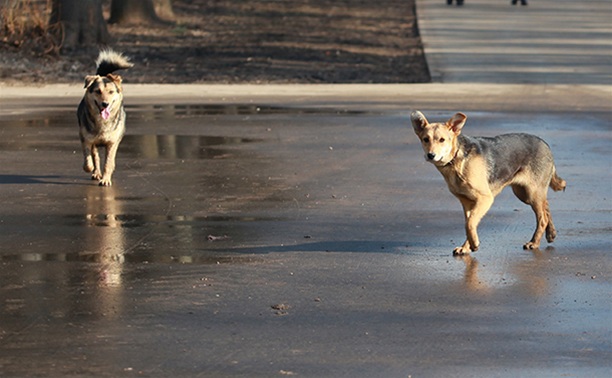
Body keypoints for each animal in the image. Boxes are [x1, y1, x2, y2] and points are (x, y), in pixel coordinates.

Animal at [77, 50, 133, 186]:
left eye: (111, 92)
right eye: (98, 91)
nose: (105, 104)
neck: (102, 122)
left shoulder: (112, 143)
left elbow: (108, 163)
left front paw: (106, 179)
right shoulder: (86, 140)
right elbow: (89, 160)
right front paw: (91, 168)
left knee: (110, 160)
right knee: (95, 157)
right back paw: (96, 172)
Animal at [408, 110, 568, 255]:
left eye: (442, 140)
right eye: (425, 139)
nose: (430, 155)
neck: (456, 160)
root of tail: (545, 144)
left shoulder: (485, 198)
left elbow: (470, 223)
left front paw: (474, 244)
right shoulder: (467, 202)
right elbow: (469, 223)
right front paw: (467, 246)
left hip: (532, 193)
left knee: (542, 218)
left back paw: (534, 242)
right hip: (524, 194)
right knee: (546, 208)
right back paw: (551, 233)